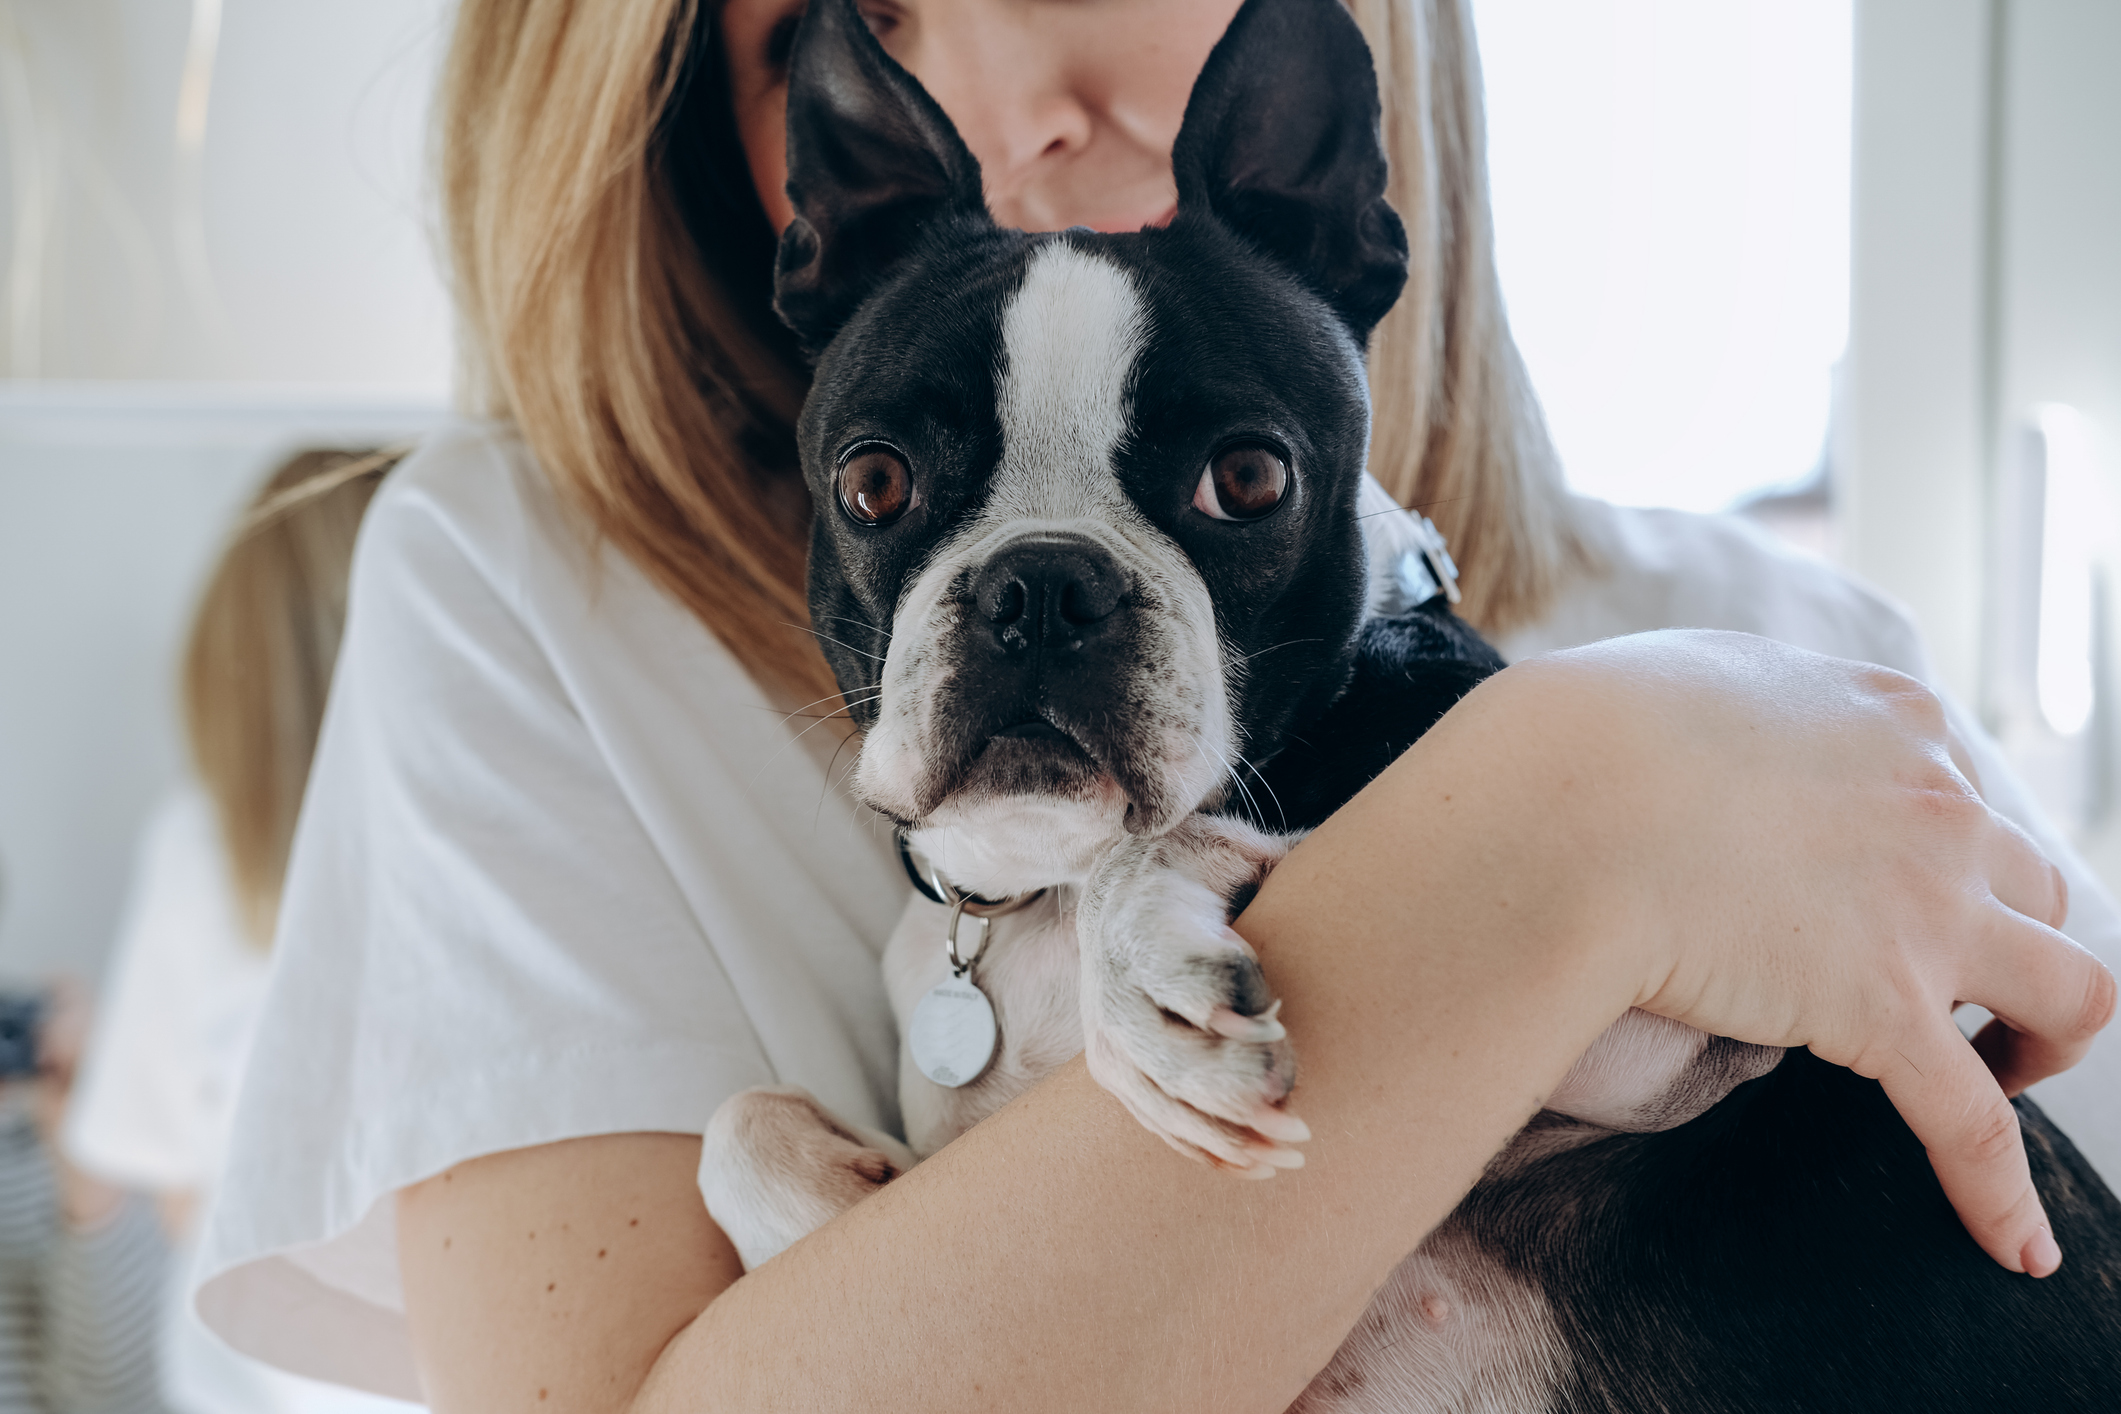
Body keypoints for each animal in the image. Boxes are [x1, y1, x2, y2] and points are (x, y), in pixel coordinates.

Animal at [699, 0, 2121, 1399]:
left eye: (1250, 479)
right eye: (873, 482)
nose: (1043, 585)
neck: (1037, 888)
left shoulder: (1699, 1034)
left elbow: (1170, 853)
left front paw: (1148, 970)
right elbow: (740, 1121)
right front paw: (839, 1198)